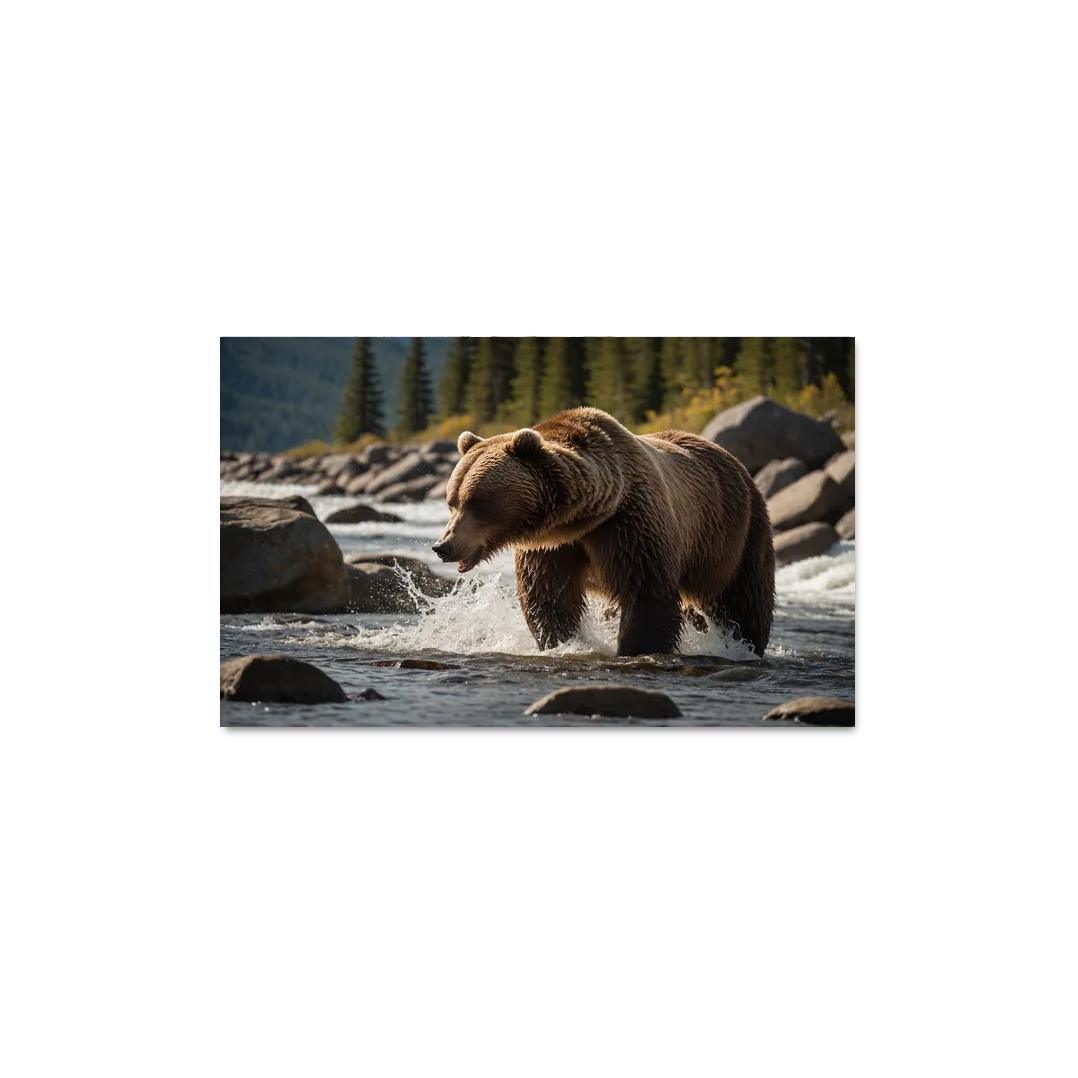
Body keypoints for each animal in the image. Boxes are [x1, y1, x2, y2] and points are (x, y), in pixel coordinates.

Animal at [432, 407, 775, 657]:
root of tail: (732, 459)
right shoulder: (551, 548)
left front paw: (637, 647)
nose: (443, 546)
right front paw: (564, 642)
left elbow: (646, 592)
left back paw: (745, 644)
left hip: (736, 535)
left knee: (744, 599)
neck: (581, 517)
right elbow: (549, 598)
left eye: (477, 502)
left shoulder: (629, 525)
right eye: (452, 502)